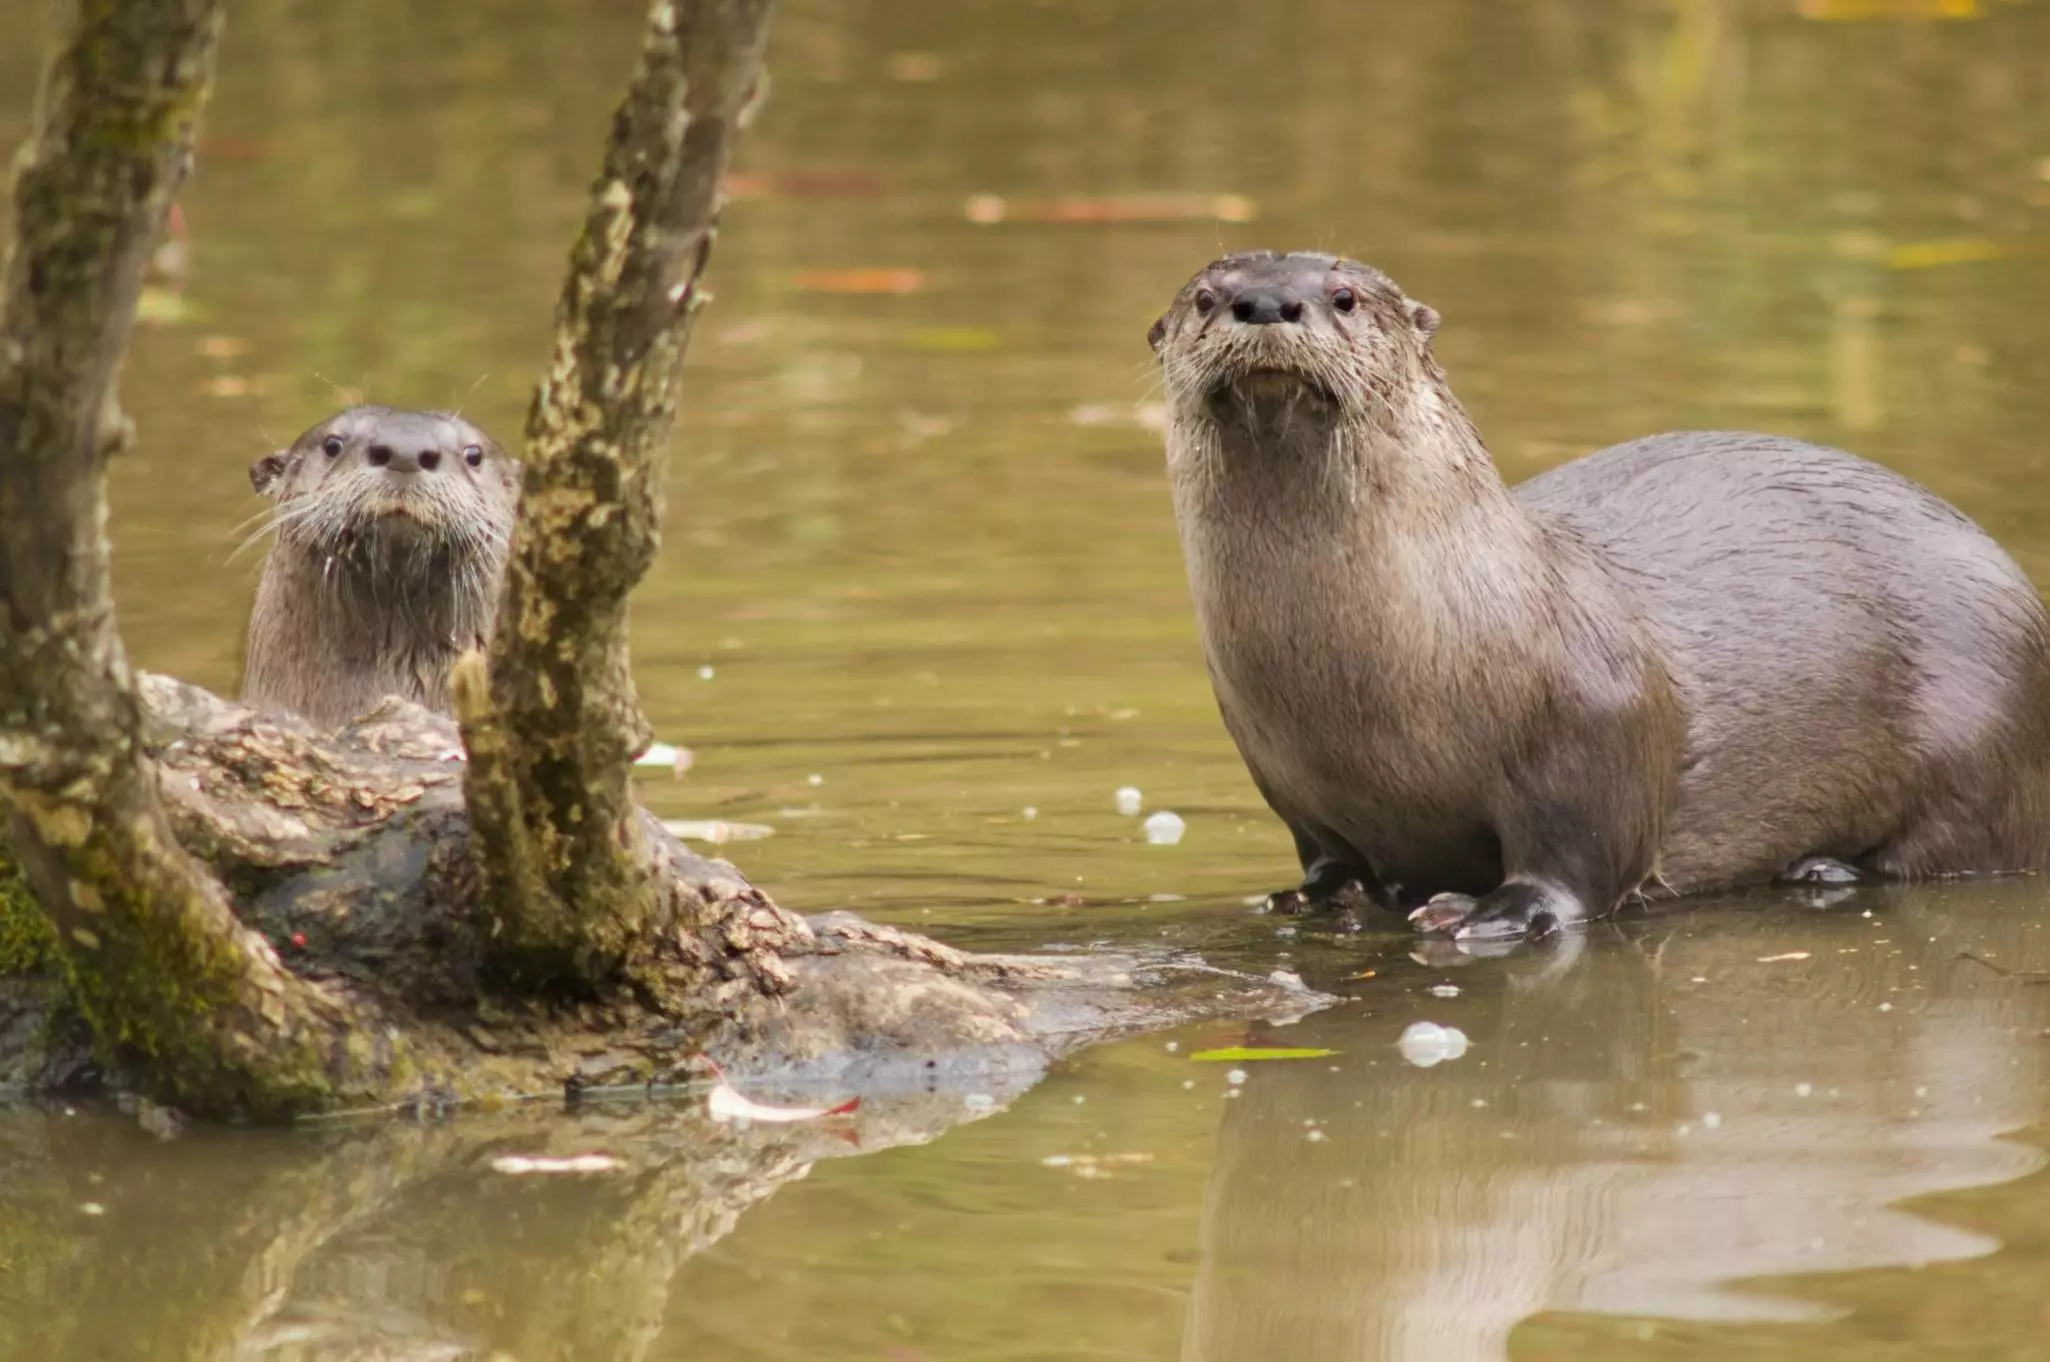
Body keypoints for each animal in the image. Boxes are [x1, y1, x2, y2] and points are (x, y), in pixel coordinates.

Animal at [1150, 251, 2050, 941]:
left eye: (1344, 298)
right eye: (1205, 297)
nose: (1267, 301)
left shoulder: (1594, 727)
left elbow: (1577, 861)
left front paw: (1492, 913)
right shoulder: (1285, 777)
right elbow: (1326, 854)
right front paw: (1315, 895)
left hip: (1985, 728)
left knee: (1960, 846)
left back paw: (1825, 869)